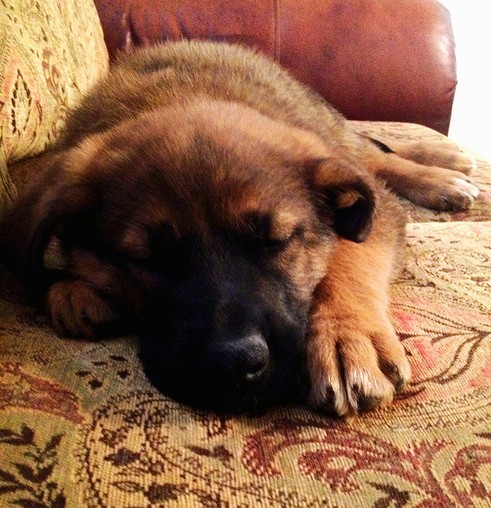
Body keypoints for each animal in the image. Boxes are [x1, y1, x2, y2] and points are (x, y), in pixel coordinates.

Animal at [0, 41, 478, 414]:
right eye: (147, 259)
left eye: (277, 241)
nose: (235, 364)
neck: (183, 96)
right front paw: (76, 290)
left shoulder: (375, 216)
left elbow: (350, 255)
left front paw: (346, 337)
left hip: (343, 144)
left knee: (378, 154)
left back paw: (446, 172)